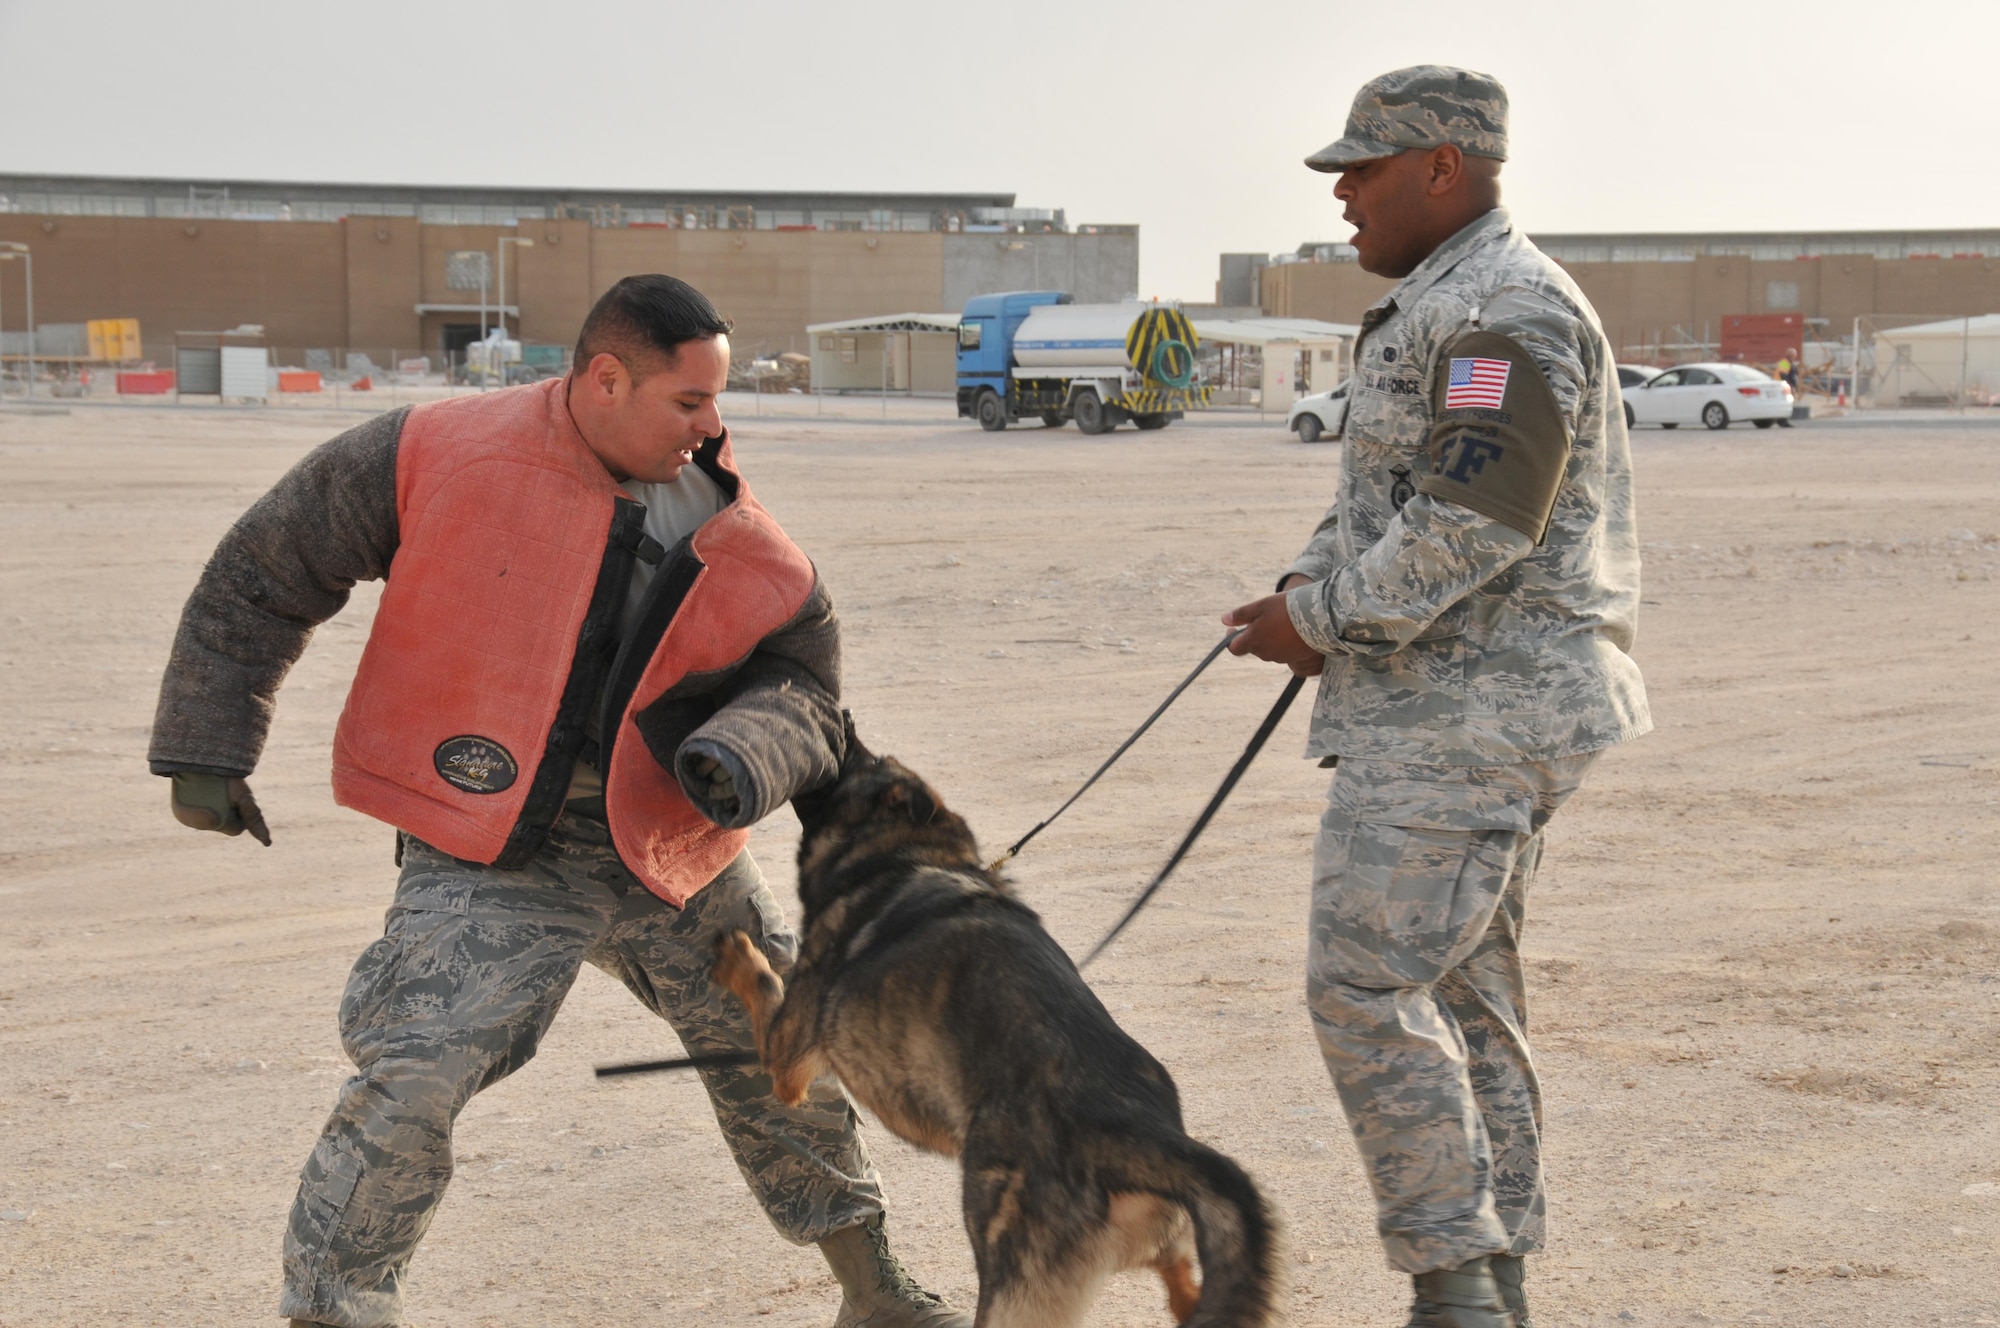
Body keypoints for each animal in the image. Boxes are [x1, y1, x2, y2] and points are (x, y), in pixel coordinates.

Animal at [716, 728, 1280, 1328]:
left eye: (854, 760)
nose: (842, 724)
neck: (904, 854)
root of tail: (1133, 1132)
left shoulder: (787, 1058)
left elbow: (764, 986)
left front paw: (737, 957)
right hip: (1166, 1252)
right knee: (1186, 1289)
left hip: (1009, 1278)